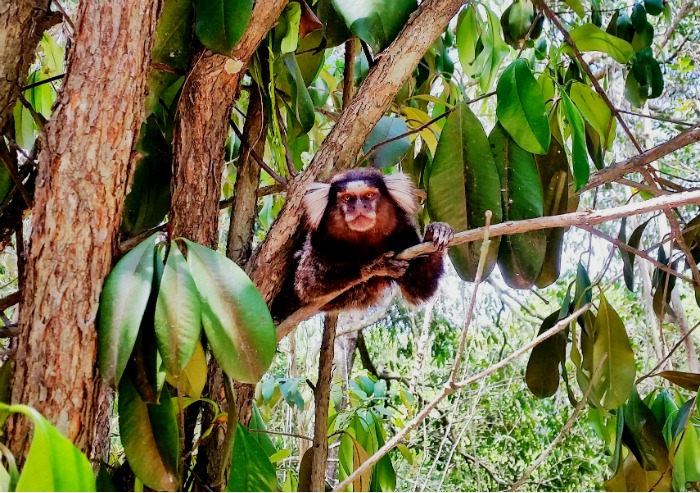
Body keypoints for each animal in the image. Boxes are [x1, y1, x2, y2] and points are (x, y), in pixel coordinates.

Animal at [288, 168, 452, 312]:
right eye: (347, 198)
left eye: (368, 195)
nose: (360, 207)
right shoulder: (317, 241)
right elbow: (307, 283)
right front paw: (377, 266)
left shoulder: (404, 232)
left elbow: (419, 288)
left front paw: (436, 233)